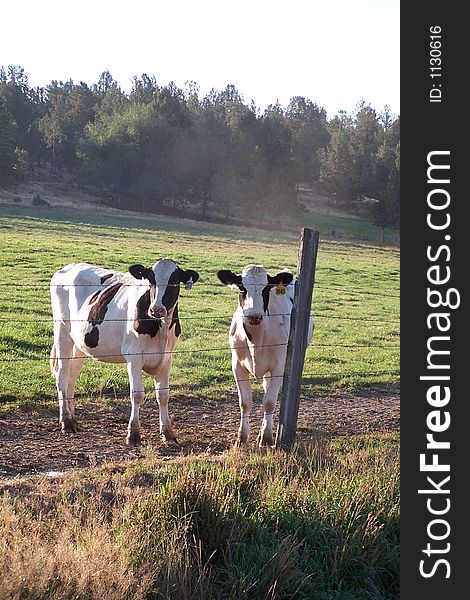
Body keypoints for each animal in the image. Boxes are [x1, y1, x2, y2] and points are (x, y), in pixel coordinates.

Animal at [50, 258, 198, 446]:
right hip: (62, 332)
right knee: (61, 375)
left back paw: (74, 420)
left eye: (174, 282)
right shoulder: (133, 356)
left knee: (71, 376)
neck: (161, 327)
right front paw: (133, 433)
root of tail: (68, 267)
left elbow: (163, 395)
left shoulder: (166, 358)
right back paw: (66, 422)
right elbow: (137, 394)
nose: (156, 309)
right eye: (150, 280)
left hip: (80, 344)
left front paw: (168, 432)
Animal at [218, 264, 314, 448]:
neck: (256, 340)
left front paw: (267, 437)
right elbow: (245, 403)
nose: (254, 316)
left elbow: (269, 402)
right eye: (242, 288)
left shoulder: (279, 366)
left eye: (266, 288)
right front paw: (242, 438)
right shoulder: (237, 366)